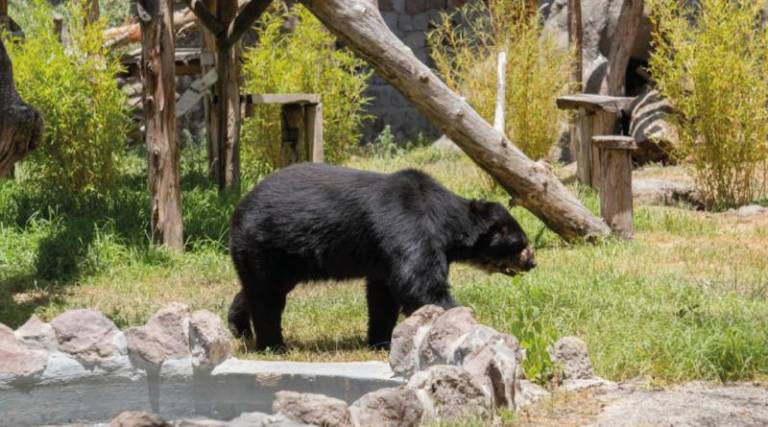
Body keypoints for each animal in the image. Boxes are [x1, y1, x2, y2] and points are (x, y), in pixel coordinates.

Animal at [228, 163, 536, 352]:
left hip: (279, 257)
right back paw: (273, 344)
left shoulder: (382, 256)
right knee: (267, 296)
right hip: (265, 243)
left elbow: (383, 295)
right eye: (521, 243)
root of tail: (239, 207)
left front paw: (380, 341)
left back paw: (239, 327)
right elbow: (420, 283)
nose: (532, 262)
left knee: (258, 289)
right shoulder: (407, 223)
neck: (444, 223)